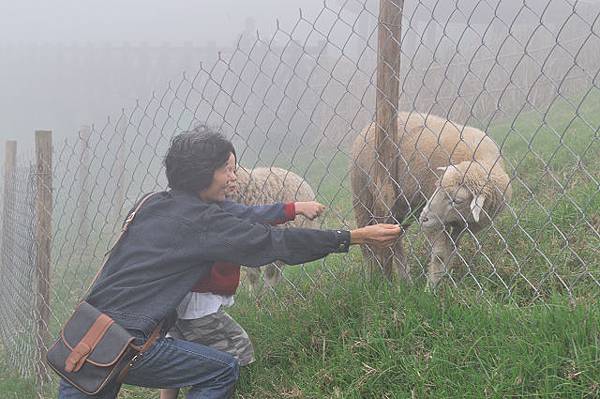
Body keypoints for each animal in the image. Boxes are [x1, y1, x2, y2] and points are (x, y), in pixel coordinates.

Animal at [352, 111, 510, 288]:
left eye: (457, 201)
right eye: (437, 186)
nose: (424, 218)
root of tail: (370, 125)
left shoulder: (463, 226)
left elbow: (451, 251)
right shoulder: (434, 221)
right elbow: (440, 254)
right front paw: (430, 289)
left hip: (402, 207)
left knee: (395, 239)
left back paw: (406, 280)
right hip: (362, 194)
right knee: (365, 242)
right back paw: (371, 277)